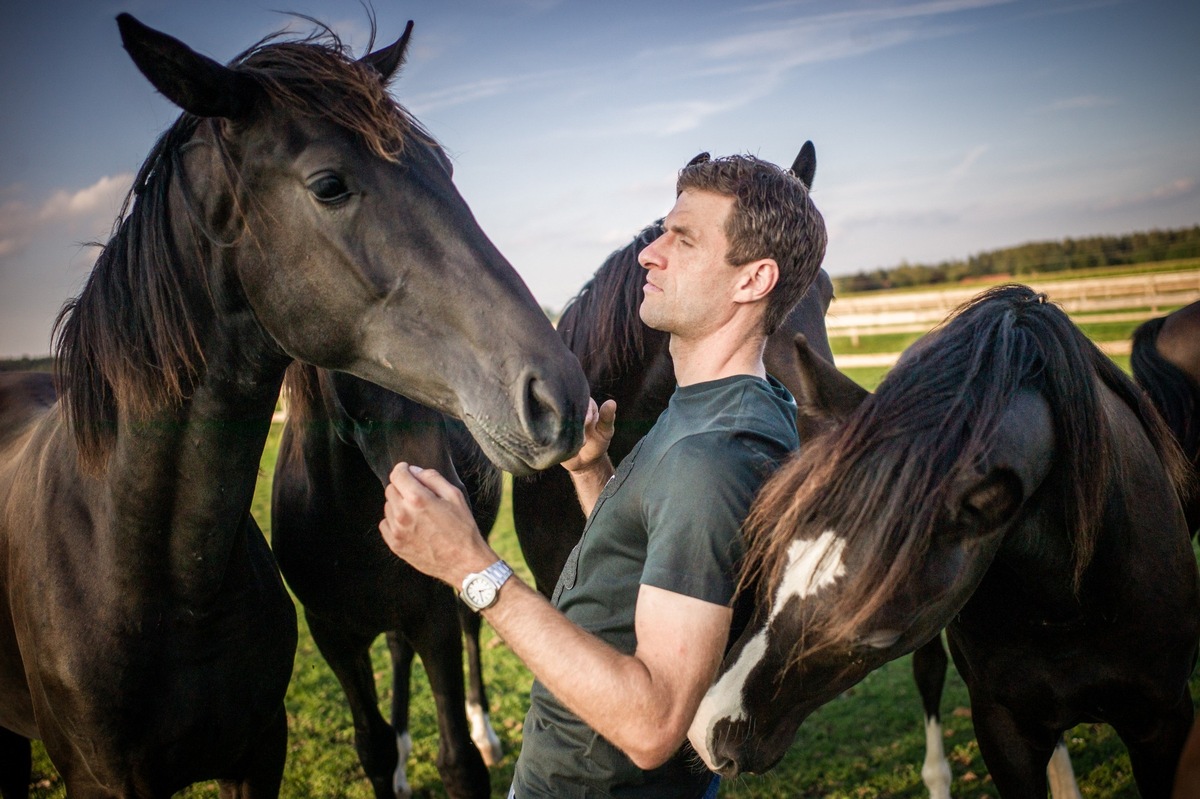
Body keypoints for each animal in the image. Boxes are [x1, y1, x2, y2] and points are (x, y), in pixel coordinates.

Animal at [0, 14, 585, 796]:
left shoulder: (276, 734)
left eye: (446, 170)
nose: (559, 393)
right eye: (329, 185)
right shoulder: (324, 643)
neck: (156, 574)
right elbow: (372, 740)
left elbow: (456, 749)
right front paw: (397, 756)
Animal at [696, 283, 1200, 791]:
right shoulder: (1002, 730)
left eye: (876, 637)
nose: (710, 737)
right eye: (767, 562)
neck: (1072, 605)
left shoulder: (1162, 721)